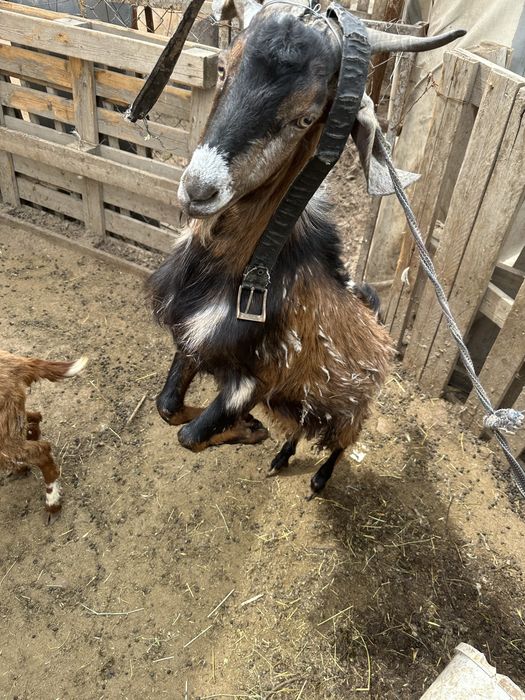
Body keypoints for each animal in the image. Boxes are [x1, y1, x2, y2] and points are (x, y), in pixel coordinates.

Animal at [147, 0, 463, 495]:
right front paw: (250, 430)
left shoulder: (255, 378)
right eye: (223, 68)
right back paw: (279, 455)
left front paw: (243, 430)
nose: (199, 191)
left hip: (351, 411)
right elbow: (168, 408)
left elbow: (190, 435)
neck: (243, 273)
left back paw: (318, 479)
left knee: (340, 444)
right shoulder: (193, 340)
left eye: (305, 117)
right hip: (296, 404)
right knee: (297, 428)